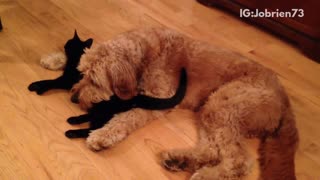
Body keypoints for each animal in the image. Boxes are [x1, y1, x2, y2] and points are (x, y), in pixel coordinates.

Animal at [72, 27, 298, 179]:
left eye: (95, 81)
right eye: (82, 73)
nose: (73, 97)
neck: (148, 55)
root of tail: (284, 98)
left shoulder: (158, 99)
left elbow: (126, 117)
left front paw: (102, 136)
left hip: (222, 108)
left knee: (239, 162)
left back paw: (205, 175)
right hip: (211, 112)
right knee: (211, 150)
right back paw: (178, 160)